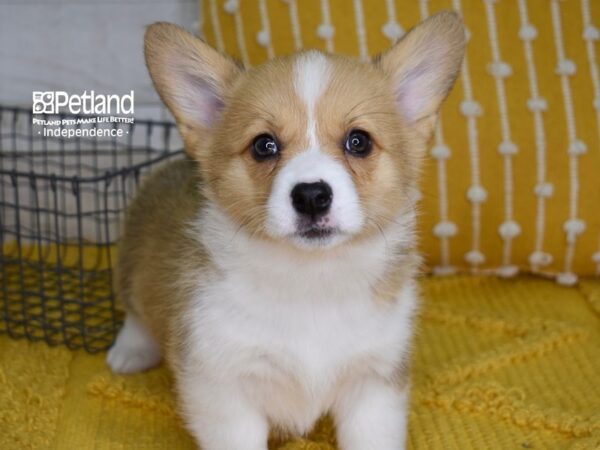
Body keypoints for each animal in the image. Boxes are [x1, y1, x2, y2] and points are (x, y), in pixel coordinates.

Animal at [108, 13, 464, 450]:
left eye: (358, 141)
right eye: (264, 145)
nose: (311, 196)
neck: (312, 281)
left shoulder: (374, 386)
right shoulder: (222, 390)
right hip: (132, 266)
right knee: (135, 313)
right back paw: (130, 352)